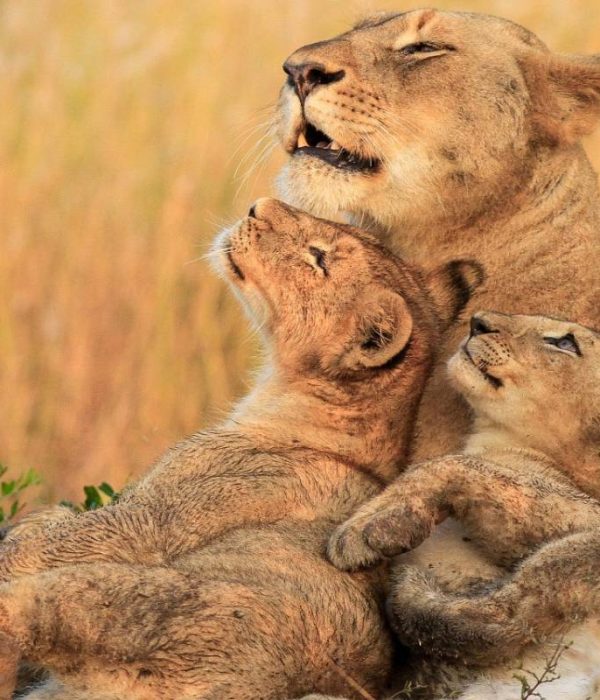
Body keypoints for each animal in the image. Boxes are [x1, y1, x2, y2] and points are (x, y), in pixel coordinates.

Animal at [0, 199, 480, 700]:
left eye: (319, 258)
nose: (257, 205)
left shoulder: (151, 518)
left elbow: (58, 537)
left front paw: (24, 532)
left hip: (120, 596)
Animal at [329, 311, 600, 699]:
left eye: (564, 343)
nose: (478, 322)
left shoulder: (586, 509)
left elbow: (450, 464)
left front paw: (367, 529)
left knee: (510, 610)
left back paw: (414, 594)